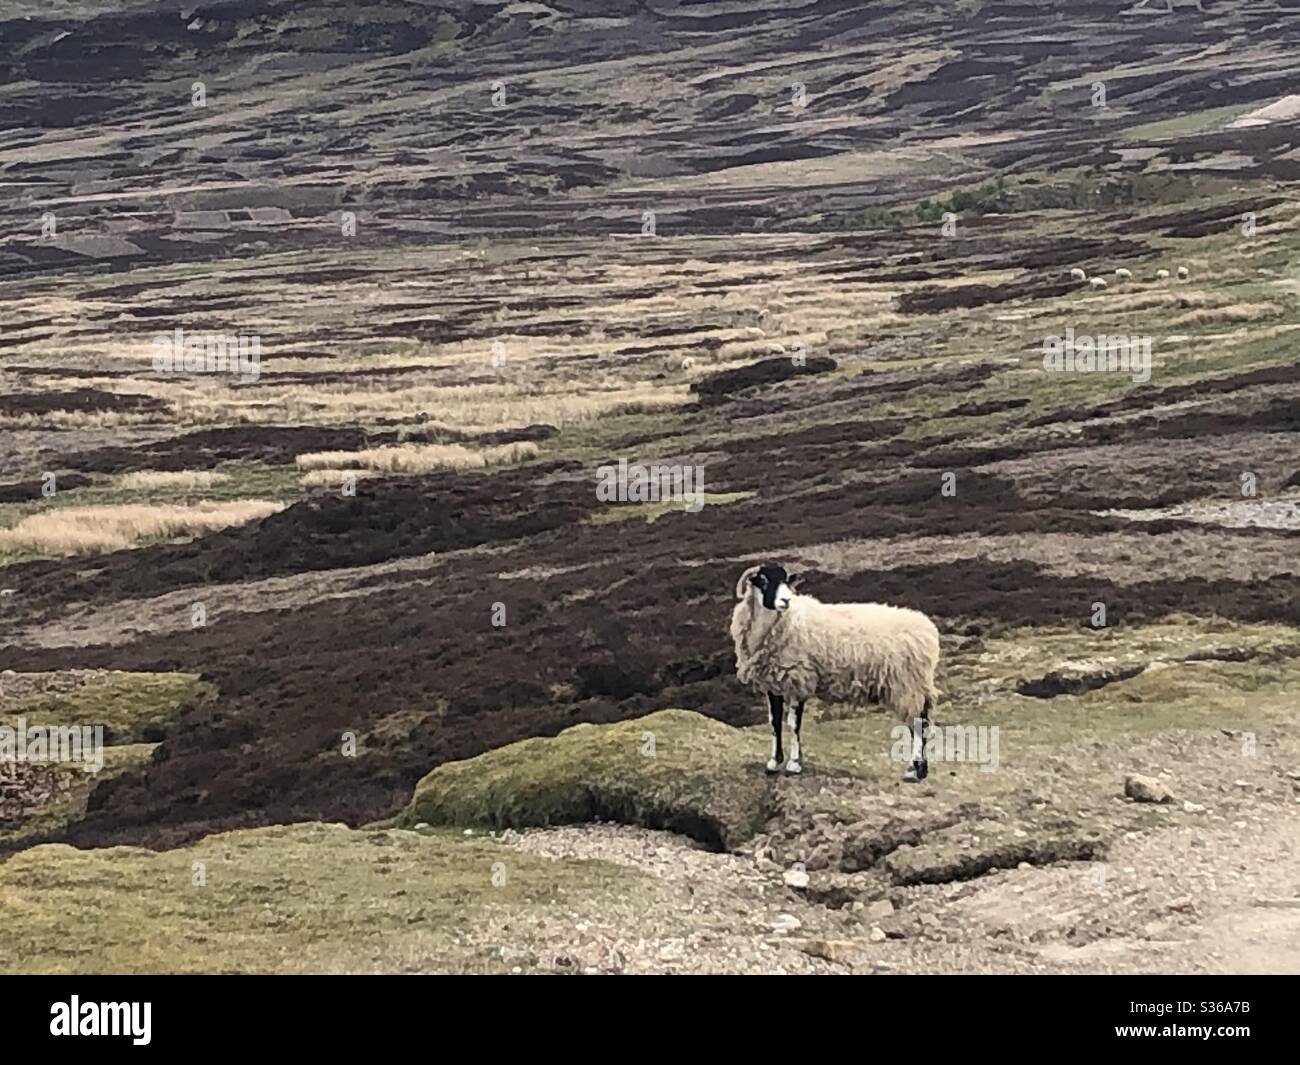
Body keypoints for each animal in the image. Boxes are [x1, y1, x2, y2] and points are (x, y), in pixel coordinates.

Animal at [731, 562, 941, 781]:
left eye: (787, 581)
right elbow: (775, 723)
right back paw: (917, 769)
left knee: (919, 724)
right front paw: (773, 762)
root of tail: (929, 630)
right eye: (763, 580)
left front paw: (794, 764)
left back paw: (916, 771)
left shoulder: (799, 678)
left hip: (908, 685)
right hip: (912, 686)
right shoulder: (774, 683)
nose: (786, 600)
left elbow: (793, 723)